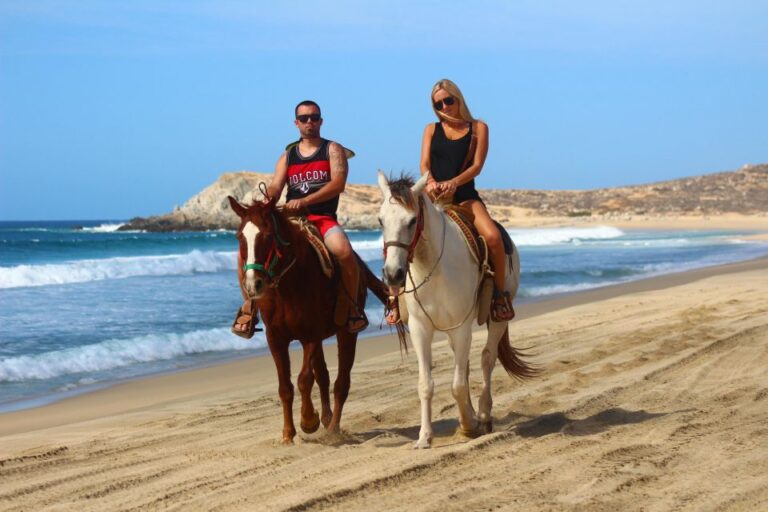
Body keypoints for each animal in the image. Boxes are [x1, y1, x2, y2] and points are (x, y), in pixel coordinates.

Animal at [225, 196, 388, 444]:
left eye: (268, 235)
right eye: (239, 237)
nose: (253, 285)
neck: (287, 285)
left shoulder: (311, 334)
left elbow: (303, 379)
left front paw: (309, 420)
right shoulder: (275, 338)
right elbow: (286, 386)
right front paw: (287, 434)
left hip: (346, 333)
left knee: (341, 383)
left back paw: (333, 428)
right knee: (323, 375)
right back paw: (327, 418)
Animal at [376, 172, 536, 448]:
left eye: (412, 220)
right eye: (380, 220)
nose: (393, 275)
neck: (434, 267)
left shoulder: (461, 327)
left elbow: (458, 385)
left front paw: (469, 425)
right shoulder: (420, 328)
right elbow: (426, 384)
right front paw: (424, 437)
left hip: (498, 319)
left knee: (487, 358)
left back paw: (483, 416)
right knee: (469, 364)